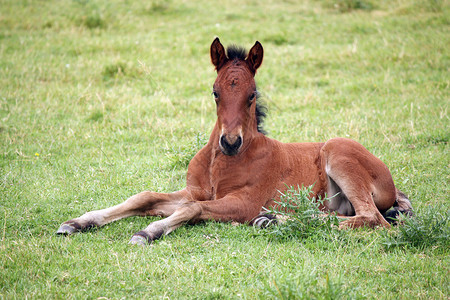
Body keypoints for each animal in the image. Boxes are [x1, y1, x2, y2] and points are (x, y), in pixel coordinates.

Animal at [57, 37, 412, 244]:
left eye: (252, 94)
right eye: (215, 92)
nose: (229, 142)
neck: (220, 163)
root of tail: (393, 185)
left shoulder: (242, 202)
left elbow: (192, 210)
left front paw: (148, 231)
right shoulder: (196, 190)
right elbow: (144, 198)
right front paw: (77, 222)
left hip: (339, 153)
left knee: (375, 220)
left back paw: (272, 220)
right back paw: (271, 220)